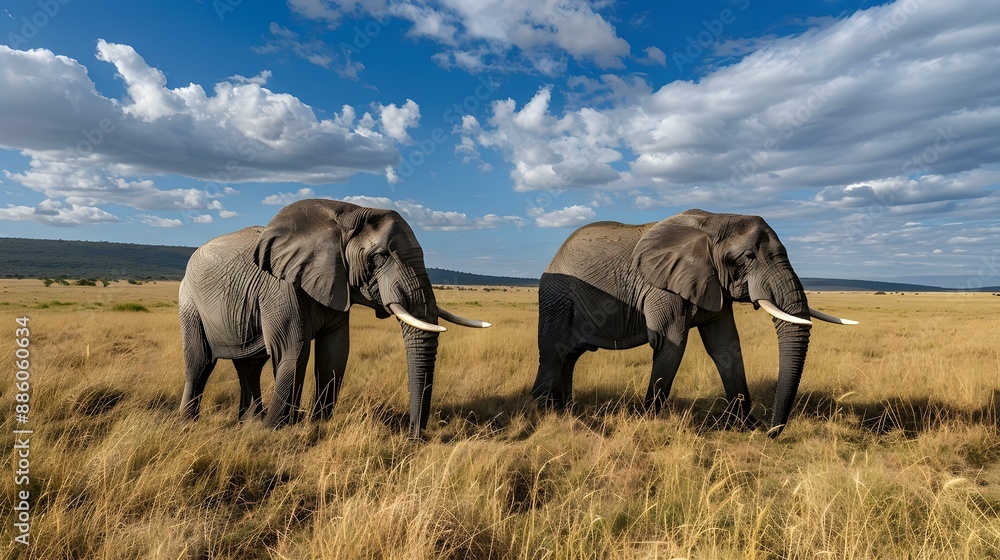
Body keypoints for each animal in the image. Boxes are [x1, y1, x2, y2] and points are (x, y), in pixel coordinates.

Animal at [178, 199, 490, 439]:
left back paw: (249, 422)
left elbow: (335, 353)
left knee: (250, 366)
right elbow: (293, 352)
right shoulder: (280, 287)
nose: (414, 437)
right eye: (379, 257)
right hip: (189, 300)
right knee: (200, 362)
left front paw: (316, 425)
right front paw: (274, 431)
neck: (347, 213)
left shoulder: (335, 285)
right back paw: (189, 423)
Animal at [530, 209, 856, 438]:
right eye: (749, 257)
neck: (716, 221)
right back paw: (544, 414)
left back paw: (565, 412)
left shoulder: (714, 285)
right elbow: (671, 343)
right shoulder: (661, 287)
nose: (772, 433)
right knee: (553, 354)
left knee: (569, 357)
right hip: (556, 298)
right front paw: (650, 422)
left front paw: (743, 425)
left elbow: (726, 347)